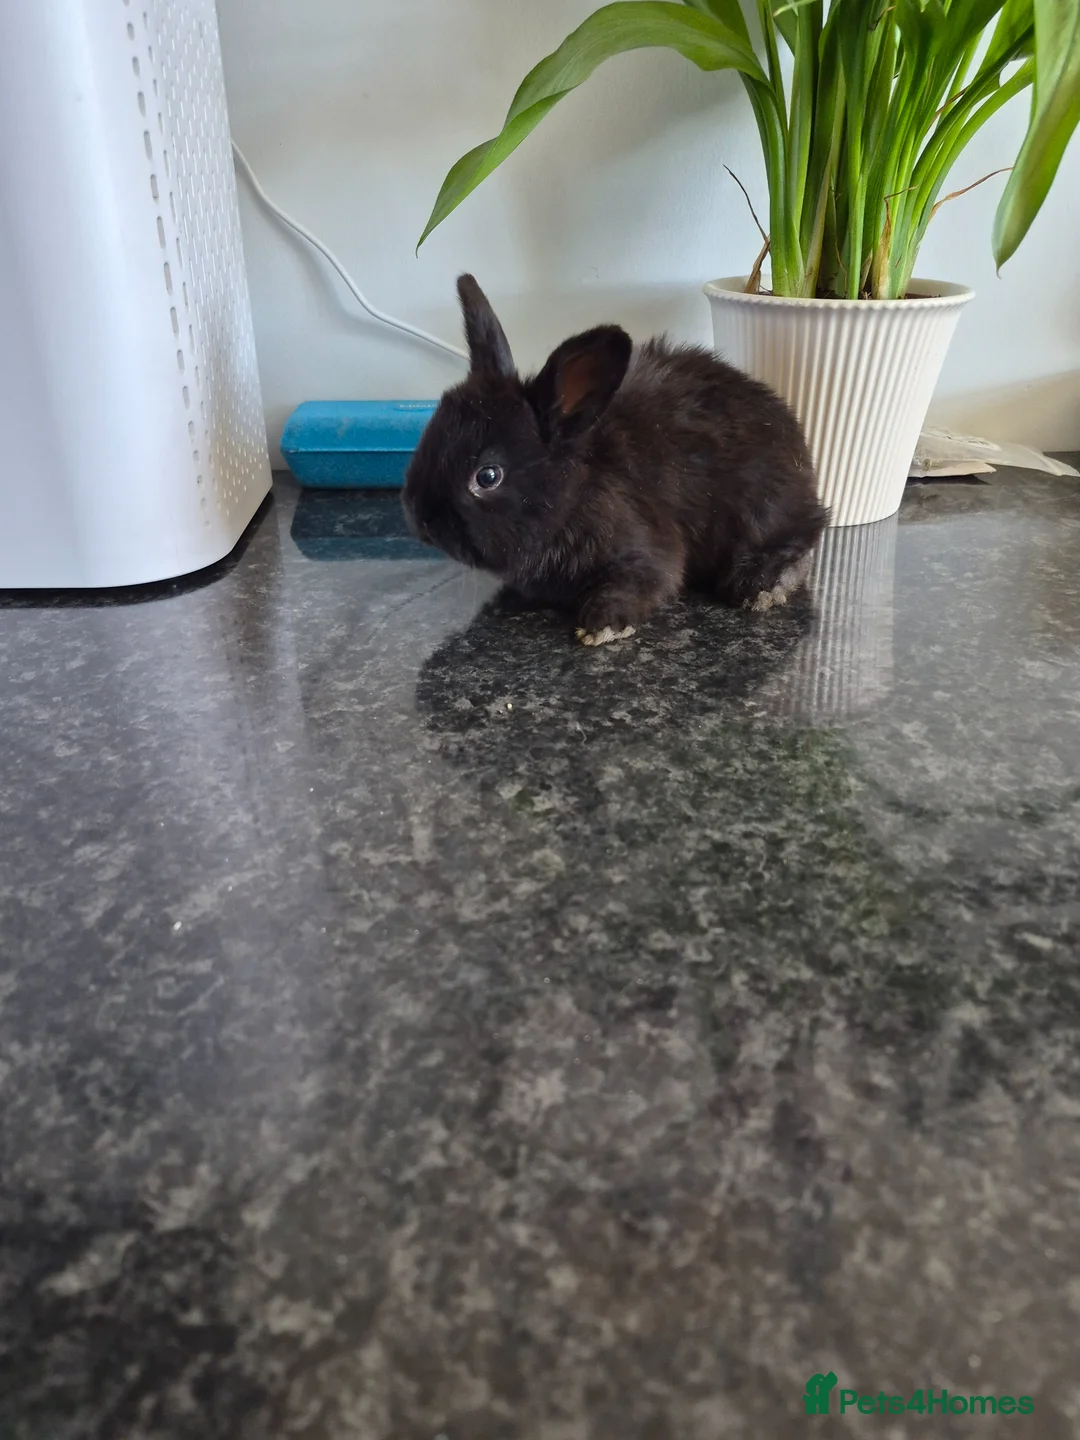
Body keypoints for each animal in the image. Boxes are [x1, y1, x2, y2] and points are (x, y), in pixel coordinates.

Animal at [402, 274, 828, 645]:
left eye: (488, 476)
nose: (417, 517)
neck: (571, 491)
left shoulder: (644, 552)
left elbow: (645, 581)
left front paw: (601, 627)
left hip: (762, 510)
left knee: (801, 540)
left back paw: (761, 586)